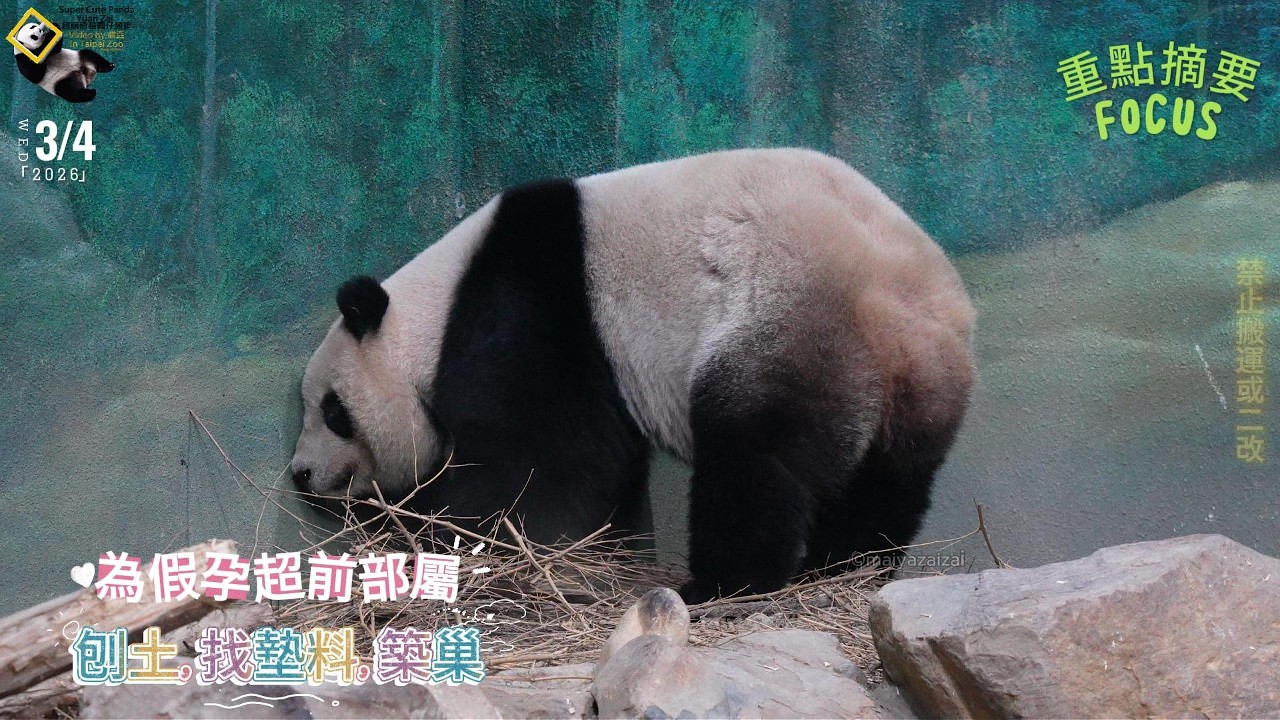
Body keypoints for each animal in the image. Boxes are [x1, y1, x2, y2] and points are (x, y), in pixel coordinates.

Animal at [290, 148, 976, 603]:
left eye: (332, 411)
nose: (300, 474)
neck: (434, 311)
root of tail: (902, 306)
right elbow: (604, 464)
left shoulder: (534, 313)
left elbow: (534, 464)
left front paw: (443, 533)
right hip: (915, 389)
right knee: (889, 482)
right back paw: (847, 567)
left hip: (782, 326)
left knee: (756, 461)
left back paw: (723, 583)